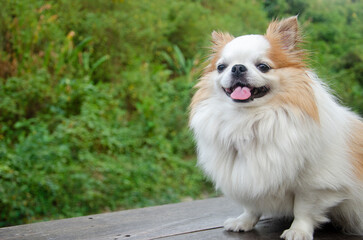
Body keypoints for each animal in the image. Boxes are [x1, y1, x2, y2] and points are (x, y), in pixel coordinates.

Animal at [191, 15, 363, 239]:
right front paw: (244, 221)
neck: (249, 120)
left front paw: (298, 230)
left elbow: (304, 209)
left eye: (263, 66)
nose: (237, 67)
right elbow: (252, 206)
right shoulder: (247, 177)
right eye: (221, 67)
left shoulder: (315, 183)